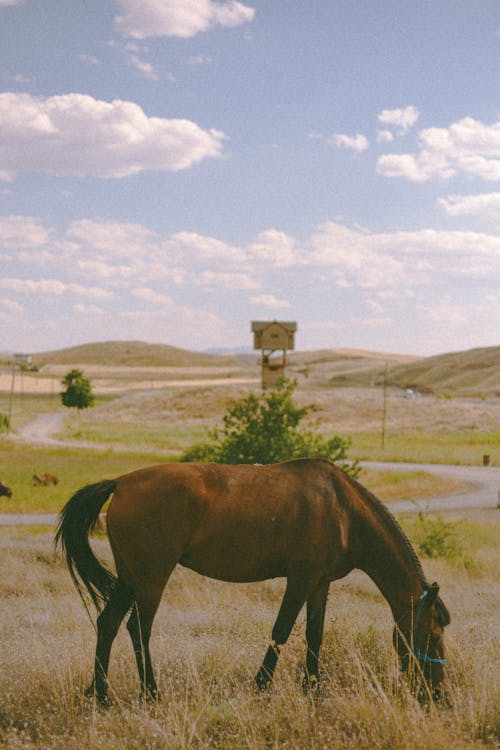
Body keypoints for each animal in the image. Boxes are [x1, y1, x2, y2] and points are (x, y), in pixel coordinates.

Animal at [56, 458, 452, 712]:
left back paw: (102, 696)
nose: (439, 696)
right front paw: (262, 686)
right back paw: (150, 694)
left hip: (130, 577)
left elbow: (314, 635)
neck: (343, 510)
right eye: (433, 636)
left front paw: (313, 688)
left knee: (107, 624)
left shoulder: (320, 584)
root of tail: (121, 482)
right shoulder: (301, 579)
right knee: (138, 628)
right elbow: (281, 631)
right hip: (152, 576)